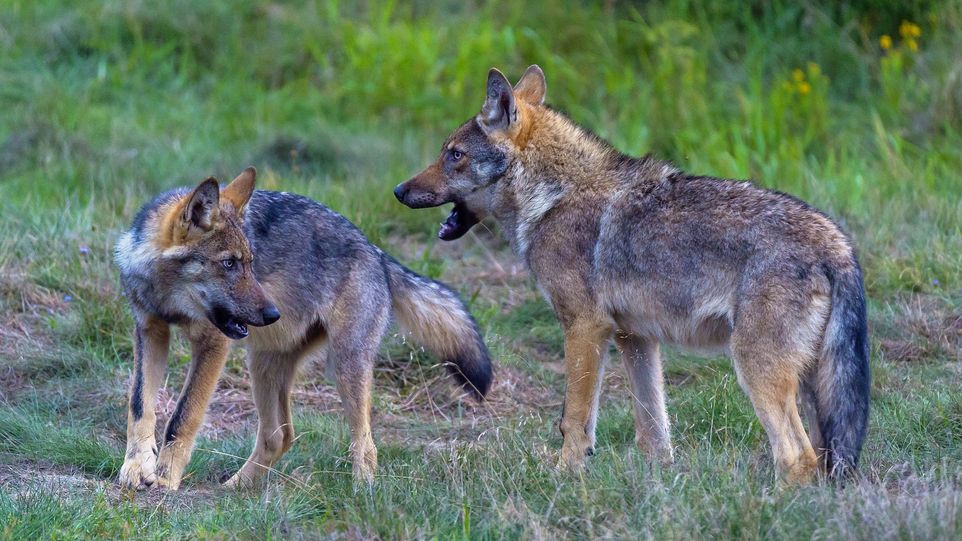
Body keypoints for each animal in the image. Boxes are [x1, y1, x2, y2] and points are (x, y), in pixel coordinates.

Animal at [115, 167, 491, 490]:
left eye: (249, 263)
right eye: (229, 263)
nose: (272, 313)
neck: (167, 296)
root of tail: (377, 253)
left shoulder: (213, 343)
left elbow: (183, 415)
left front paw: (165, 478)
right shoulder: (149, 332)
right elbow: (139, 406)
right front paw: (136, 468)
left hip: (344, 368)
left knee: (365, 443)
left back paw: (362, 493)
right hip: (264, 364)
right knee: (278, 437)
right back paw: (235, 488)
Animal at [394, 65, 869, 482]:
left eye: (454, 155)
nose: (399, 190)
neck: (552, 197)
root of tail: (838, 245)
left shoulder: (584, 327)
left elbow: (574, 419)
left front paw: (564, 477)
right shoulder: (635, 337)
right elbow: (654, 435)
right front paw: (659, 486)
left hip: (756, 370)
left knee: (797, 456)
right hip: (812, 386)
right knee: (823, 459)